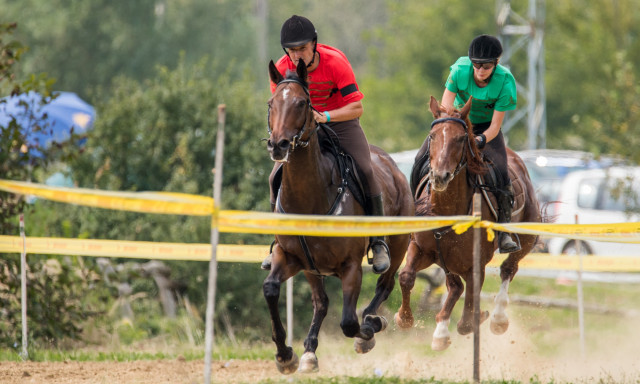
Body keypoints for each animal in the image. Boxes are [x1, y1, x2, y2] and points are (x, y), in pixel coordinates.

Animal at [264, 59, 416, 372]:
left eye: (302, 103)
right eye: (272, 103)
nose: (278, 145)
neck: (309, 197)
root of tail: (393, 165)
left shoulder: (350, 267)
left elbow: (348, 322)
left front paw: (369, 330)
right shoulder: (292, 257)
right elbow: (271, 289)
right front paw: (285, 355)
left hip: (397, 247)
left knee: (385, 284)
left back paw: (372, 322)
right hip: (312, 268)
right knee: (321, 302)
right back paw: (309, 351)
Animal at [396, 96, 540, 352]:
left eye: (462, 138)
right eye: (432, 136)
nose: (440, 176)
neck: (447, 210)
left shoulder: (476, 265)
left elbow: (467, 318)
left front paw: (479, 318)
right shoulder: (422, 249)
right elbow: (406, 276)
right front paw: (404, 318)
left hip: (525, 239)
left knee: (508, 268)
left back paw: (498, 318)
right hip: (446, 259)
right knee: (455, 286)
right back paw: (441, 331)